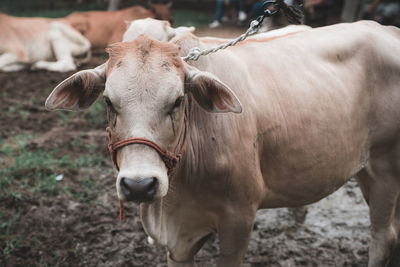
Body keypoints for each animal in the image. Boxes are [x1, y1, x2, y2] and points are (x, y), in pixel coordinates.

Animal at [45, 21, 400, 267]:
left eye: (177, 100)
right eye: (108, 101)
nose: (139, 185)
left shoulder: (238, 221)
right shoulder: (178, 242)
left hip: (385, 168)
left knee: (383, 236)